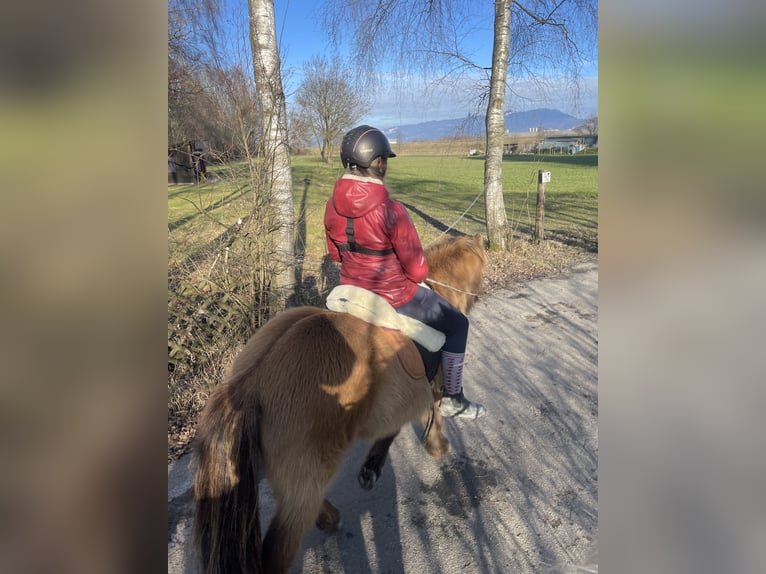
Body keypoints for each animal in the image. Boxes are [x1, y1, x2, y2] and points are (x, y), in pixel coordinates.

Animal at [192, 233, 487, 574]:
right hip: (308, 473)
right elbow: (435, 416)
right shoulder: (433, 387)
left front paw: (372, 466)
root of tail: (251, 382)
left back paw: (330, 517)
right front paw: (438, 445)